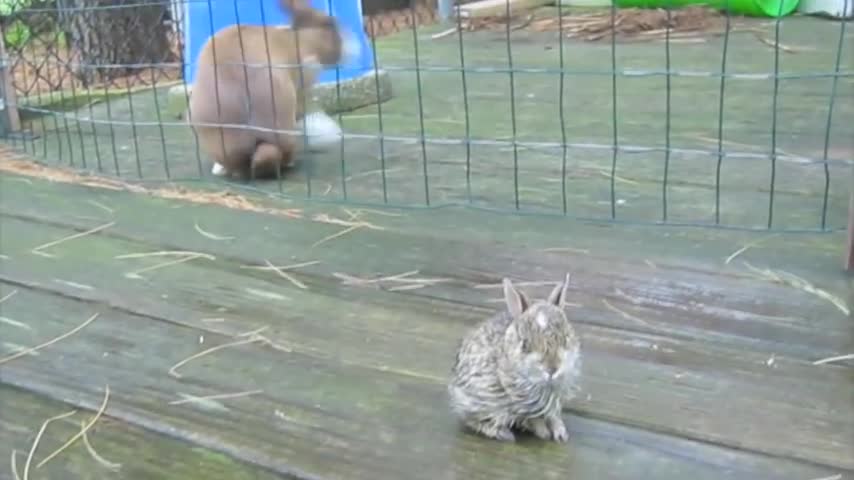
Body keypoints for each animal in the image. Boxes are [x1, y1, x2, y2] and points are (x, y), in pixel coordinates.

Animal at [448, 274, 580, 442]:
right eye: (525, 345)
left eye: (565, 339)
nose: (552, 369)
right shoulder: (520, 403)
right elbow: (533, 419)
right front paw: (544, 433)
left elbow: (553, 417)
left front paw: (561, 434)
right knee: (472, 420)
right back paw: (503, 433)